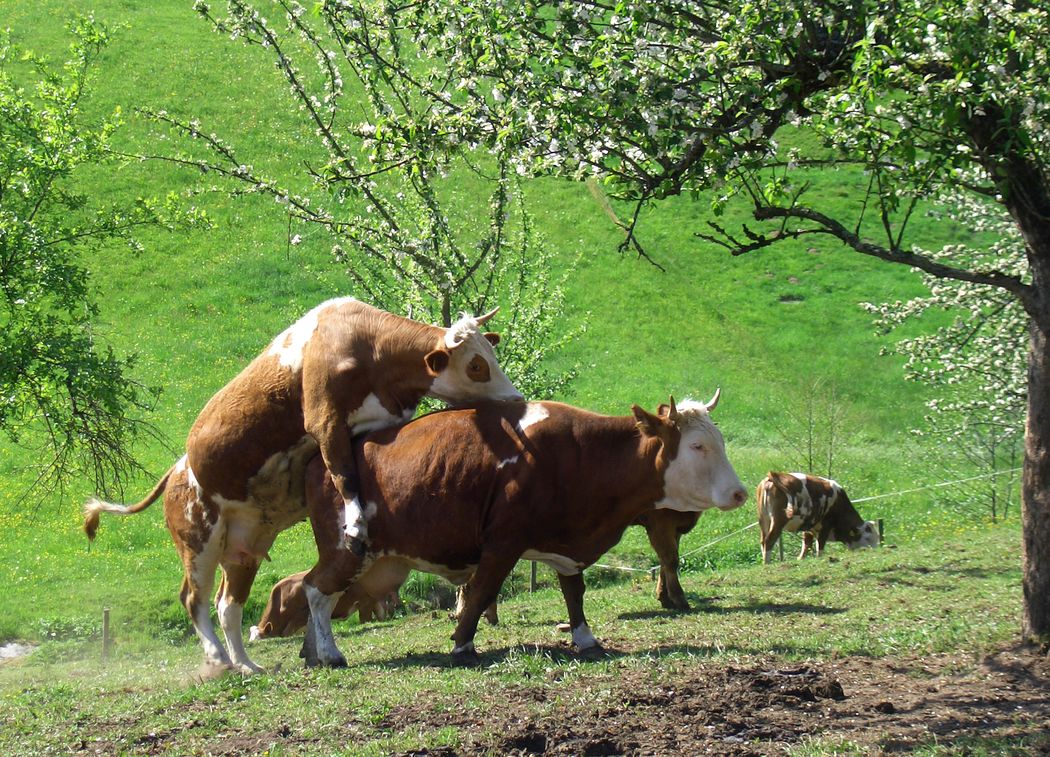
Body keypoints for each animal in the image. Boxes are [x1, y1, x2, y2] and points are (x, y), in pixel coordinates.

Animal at [81, 296, 520, 671]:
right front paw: (355, 522)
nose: (515, 399)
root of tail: (177, 468)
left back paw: (246, 665)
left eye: (491, 355)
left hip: (243, 550)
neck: (367, 344)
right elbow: (343, 474)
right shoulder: (324, 420)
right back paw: (220, 661)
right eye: (476, 366)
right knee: (194, 599)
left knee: (228, 605)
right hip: (198, 540)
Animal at [296, 392, 747, 663]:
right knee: (316, 590)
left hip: (380, 561)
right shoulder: (503, 542)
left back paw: (313, 653)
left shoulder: (567, 546)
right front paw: (463, 644)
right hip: (347, 547)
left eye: (720, 441)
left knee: (316, 591)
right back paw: (331, 655)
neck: (583, 454)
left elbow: (574, 592)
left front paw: (585, 638)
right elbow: (480, 592)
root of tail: (323, 460)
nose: (740, 492)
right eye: (697, 446)